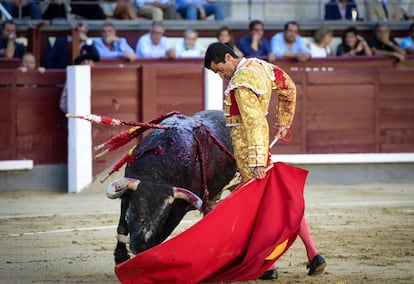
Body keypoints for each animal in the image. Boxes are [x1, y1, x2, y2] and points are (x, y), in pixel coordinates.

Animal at [105, 109, 238, 264]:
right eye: (131, 213)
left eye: (162, 219)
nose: (138, 246)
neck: (155, 174)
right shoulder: (126, 195)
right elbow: (121, 228)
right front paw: (121, 257)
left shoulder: (178, 209)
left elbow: (159, 237)